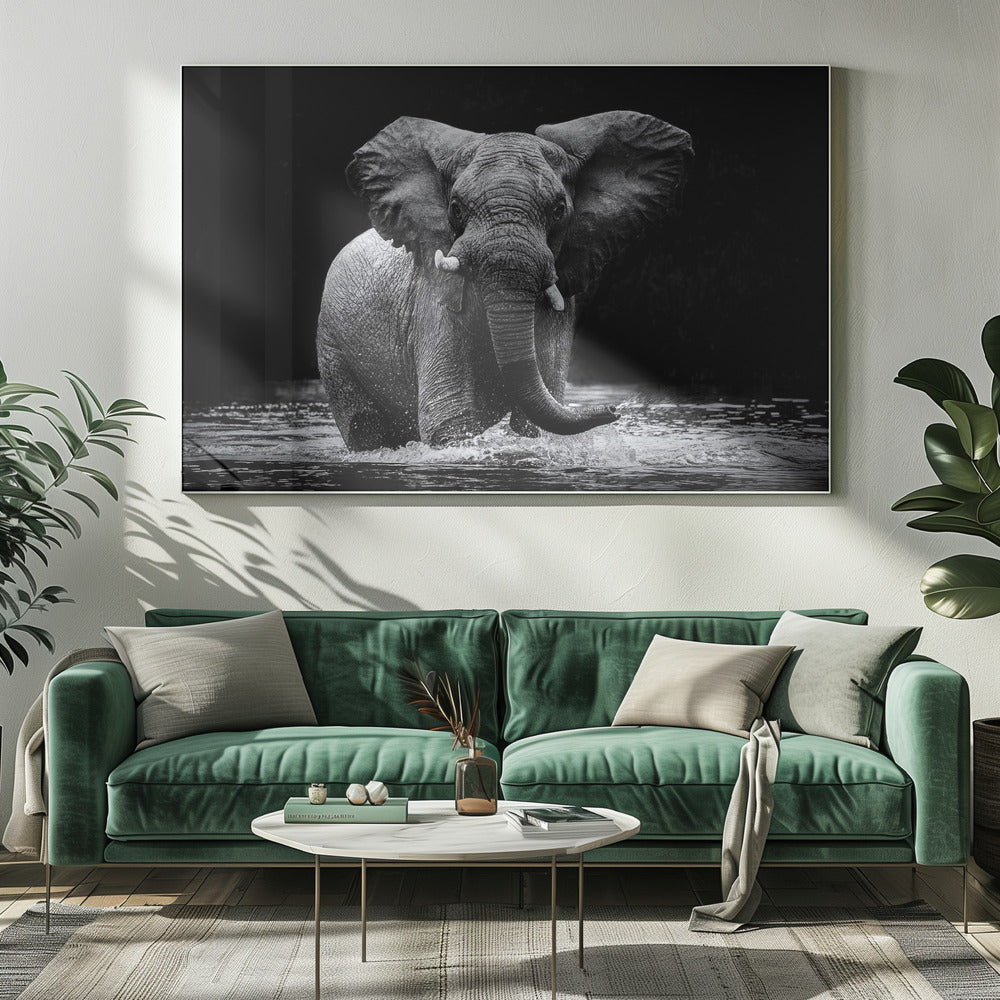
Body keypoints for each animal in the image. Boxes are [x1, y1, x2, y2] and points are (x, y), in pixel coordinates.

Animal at [316, 110, 693, 451]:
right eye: (455, 208)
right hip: (331, 345)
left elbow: (533, 421)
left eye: (559, 209)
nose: (614, 409)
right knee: (363, 427)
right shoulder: (435, 298)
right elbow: (448, 419)